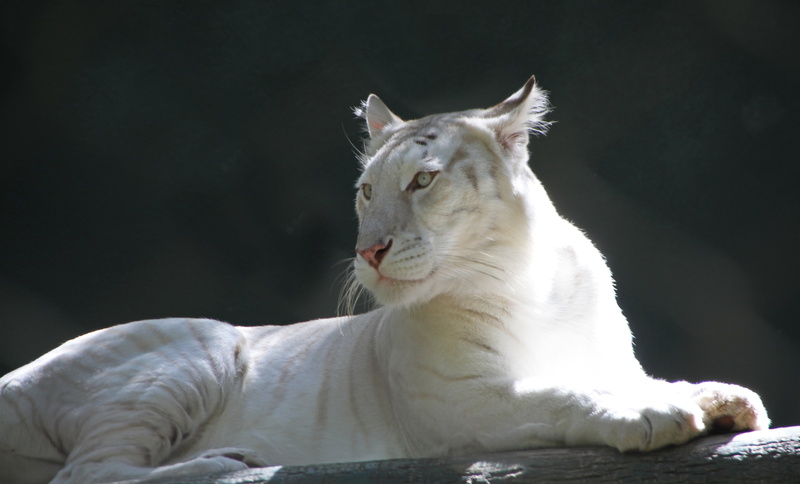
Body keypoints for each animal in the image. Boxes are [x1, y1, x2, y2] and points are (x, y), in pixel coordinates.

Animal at [0, 76, 769, 484]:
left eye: (423, 181)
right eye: (367, 191)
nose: (368, 250)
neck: (527, 285)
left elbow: (624, 376)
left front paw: (718, 396)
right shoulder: (461, 404)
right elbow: (565, 394)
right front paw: (655, 414)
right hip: (198, 350)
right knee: (88, 474)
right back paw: (227, 460)